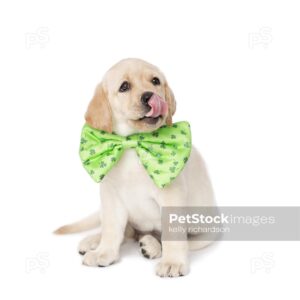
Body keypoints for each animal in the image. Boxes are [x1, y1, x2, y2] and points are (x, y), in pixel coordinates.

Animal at [55, 58, 216, 276]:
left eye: (155, 81)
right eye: (124, 87)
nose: (150, 96)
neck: (133, 143)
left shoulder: (171, 197)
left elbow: (173, 237)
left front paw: (173, 262)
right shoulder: (111, 197)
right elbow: (112, 229)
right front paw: (105, 252)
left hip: (206, 230)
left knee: (175, 240)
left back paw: (152, 245)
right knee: (125, 232)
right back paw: (94, 241)